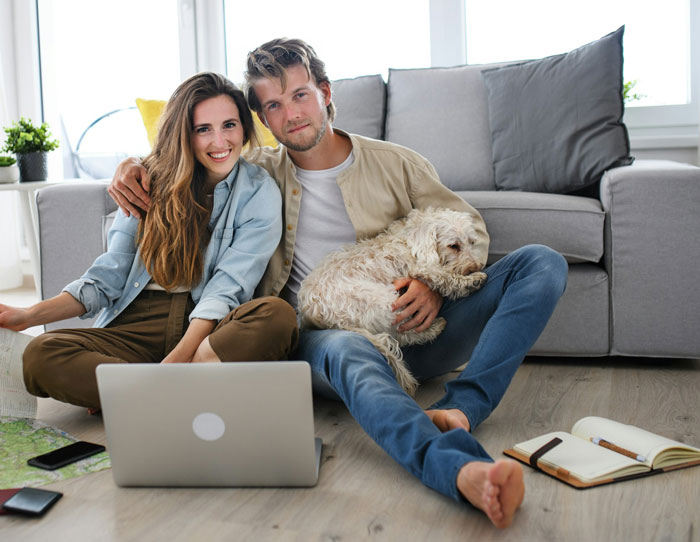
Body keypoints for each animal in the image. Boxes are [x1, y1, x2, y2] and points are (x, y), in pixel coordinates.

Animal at [296, 208, 486, 396]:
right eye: (453, 246)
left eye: (472, 242)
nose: (475, 268)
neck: (410, 239)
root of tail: (314, 315)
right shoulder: (422, 268)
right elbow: (445, 277)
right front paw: (471, 281)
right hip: (384, 299)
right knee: (403, 334)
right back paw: (434, 328)